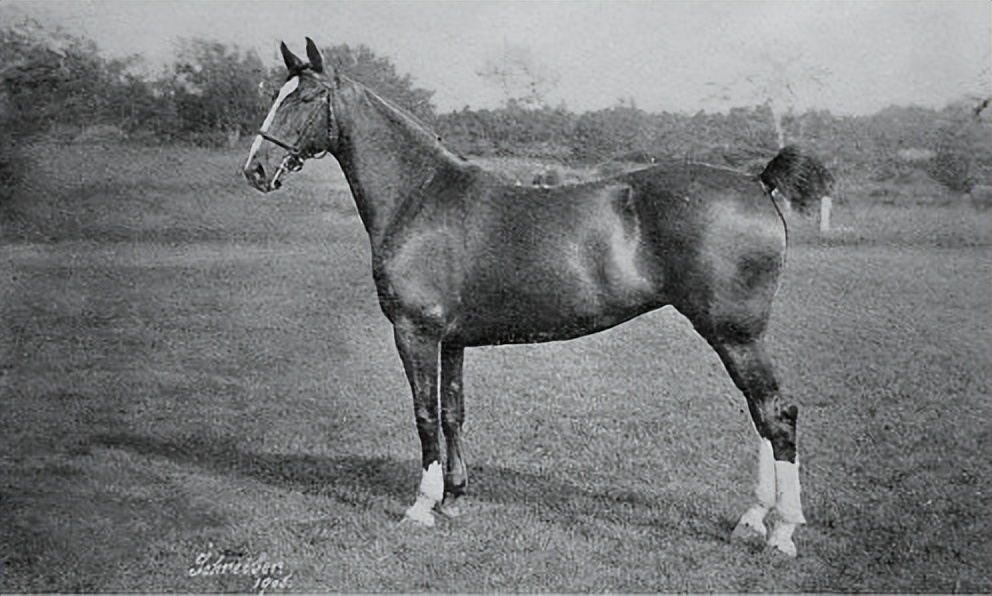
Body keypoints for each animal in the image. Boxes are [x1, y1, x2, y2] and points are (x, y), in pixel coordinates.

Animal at [243, 38, 808, 557]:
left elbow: (424, 413)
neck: (420, 198)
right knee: (762, 413)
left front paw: (421, 506)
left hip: (734, 333)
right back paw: (753, 520)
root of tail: (758, 183)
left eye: (305, 97)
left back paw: (782, 532)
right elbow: (453, 411)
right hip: (736, 335)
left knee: (776, 412)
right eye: (277, 94)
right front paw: (454, 496)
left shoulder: (415, 332)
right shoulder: (452, 340)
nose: (255, 169)